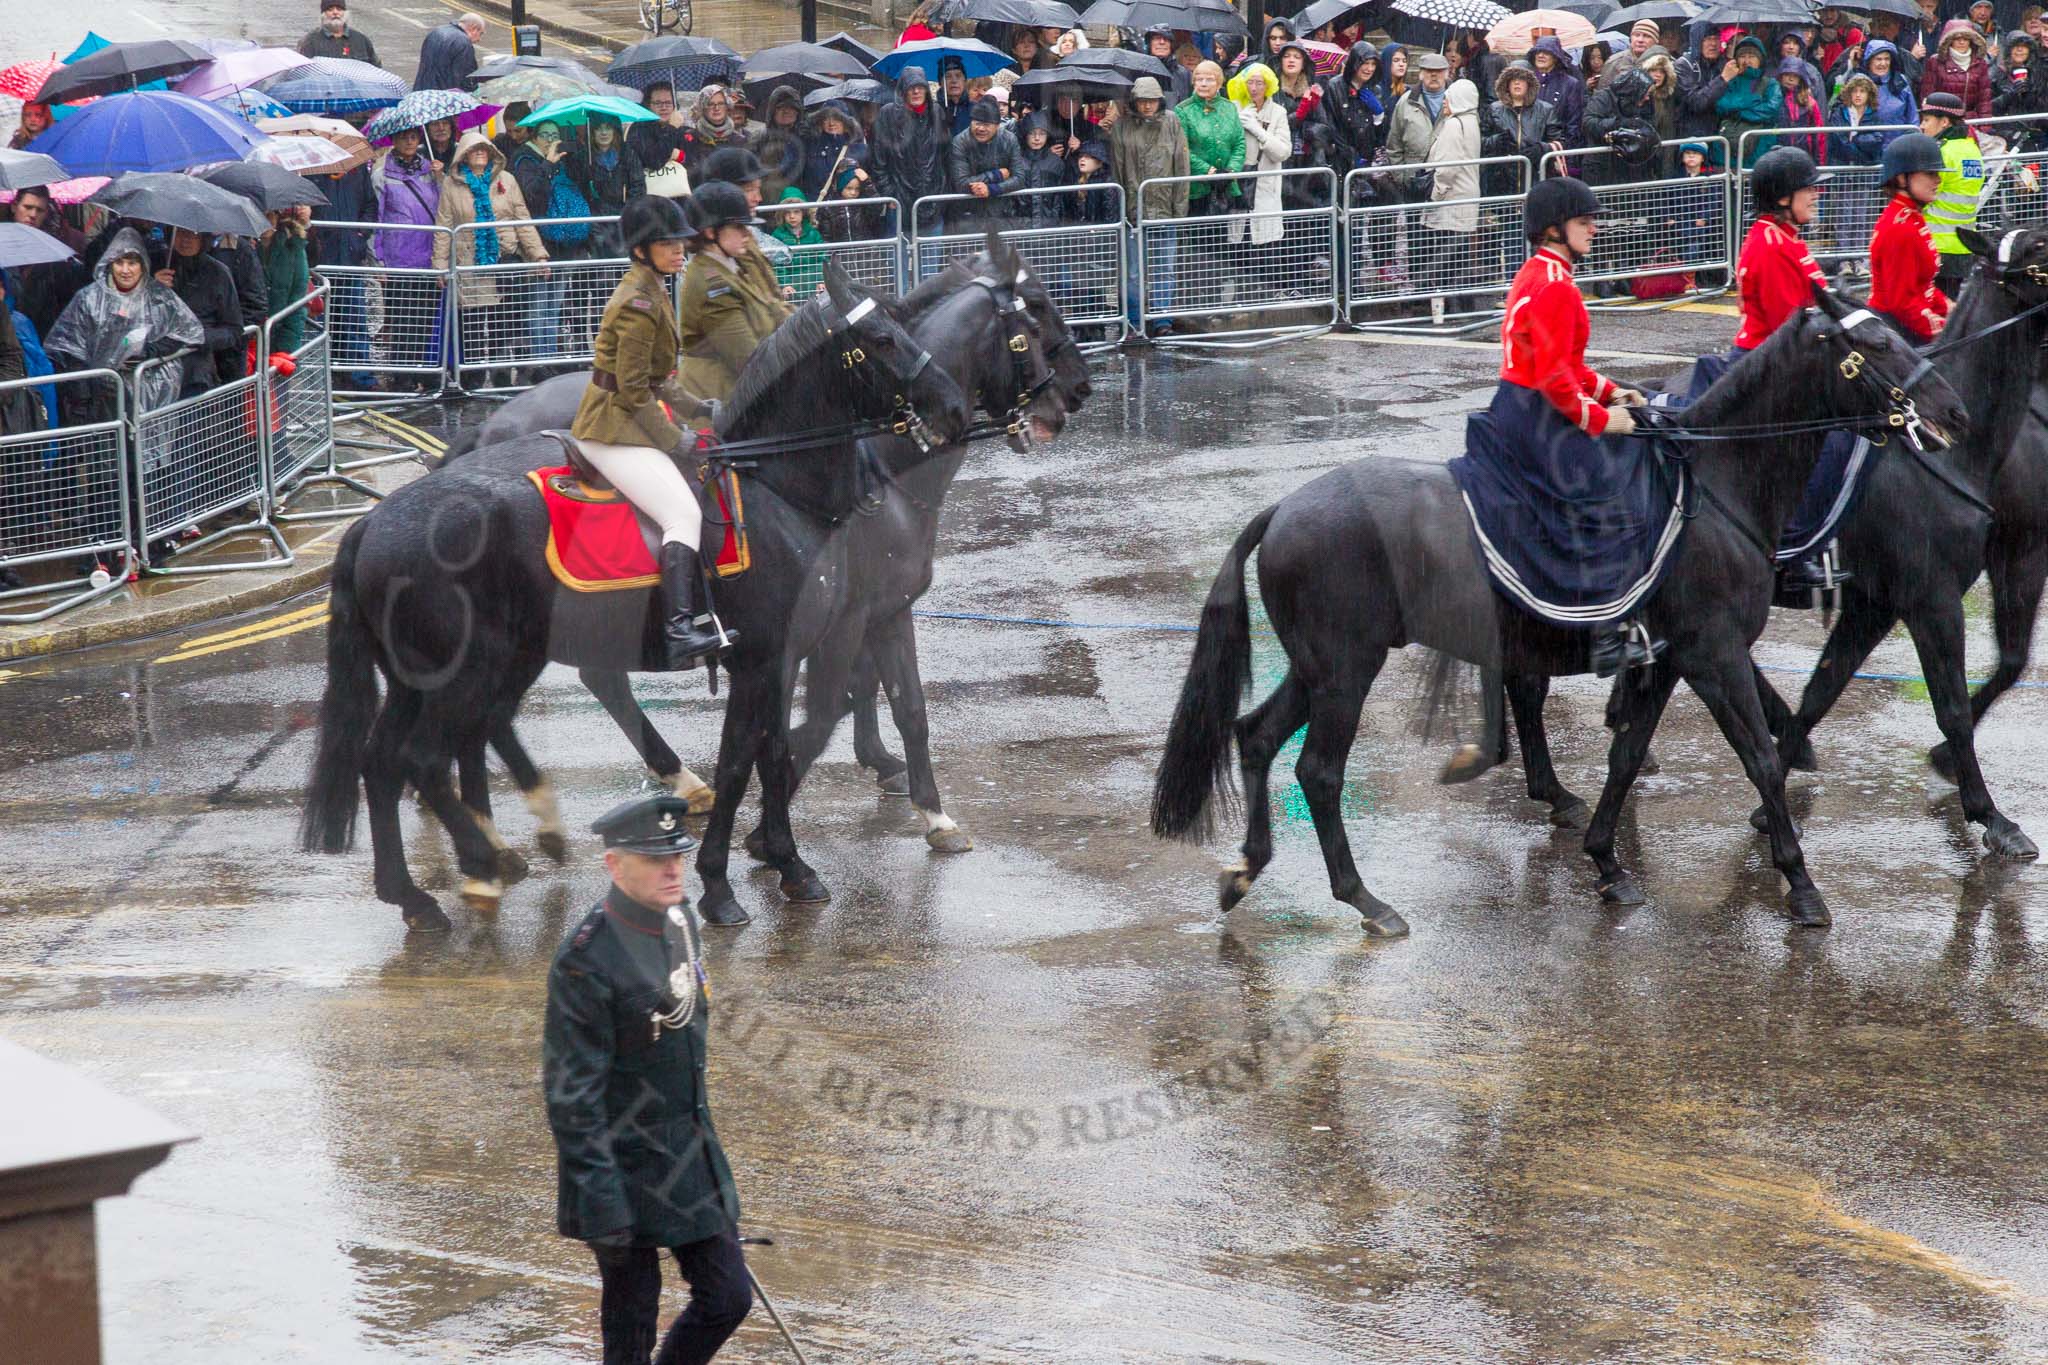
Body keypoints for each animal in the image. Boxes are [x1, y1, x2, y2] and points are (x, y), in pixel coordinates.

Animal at [299, 266, 974, 929]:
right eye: (882, 339)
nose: (954, 405)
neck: (777, 489)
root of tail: (373, 521)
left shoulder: (787, 658)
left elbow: (775, 752)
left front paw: (785, 864)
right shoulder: (761, 661)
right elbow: (742, 764)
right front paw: (723, 886)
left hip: (424, 677)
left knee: (385, 762)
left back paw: (417, 893)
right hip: (465, 671)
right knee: (424, 759)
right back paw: (482, 861)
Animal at [1155, 292, 1966, 941]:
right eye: (1877, 345)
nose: (1950, 410)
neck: (1718, 485)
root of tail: (1284, 508)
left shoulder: (1666, 657)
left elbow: (1628, 753)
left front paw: (1607, 861)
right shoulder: (1714, 652)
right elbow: (1760, 758)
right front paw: (1800, 885)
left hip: (1320, 668)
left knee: (1256, 736)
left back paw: (1246, 869)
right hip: (1348, 671)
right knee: (1319, 773)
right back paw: (1366, 900)